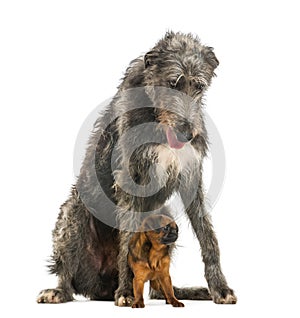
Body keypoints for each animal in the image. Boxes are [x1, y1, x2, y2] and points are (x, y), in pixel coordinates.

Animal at [37, 31, 237, 306]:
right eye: (173, 83)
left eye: (199, 86)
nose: (187, 135)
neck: (157, 119)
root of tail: (100, 287)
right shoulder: (129, 177)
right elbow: (127, 239)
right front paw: (126, 291)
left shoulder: (190, 175)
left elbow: (208, 236)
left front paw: (220, 287)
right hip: (73, 213)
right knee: (66, 271)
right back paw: (61, 290)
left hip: (165, 217)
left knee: (157, 286)